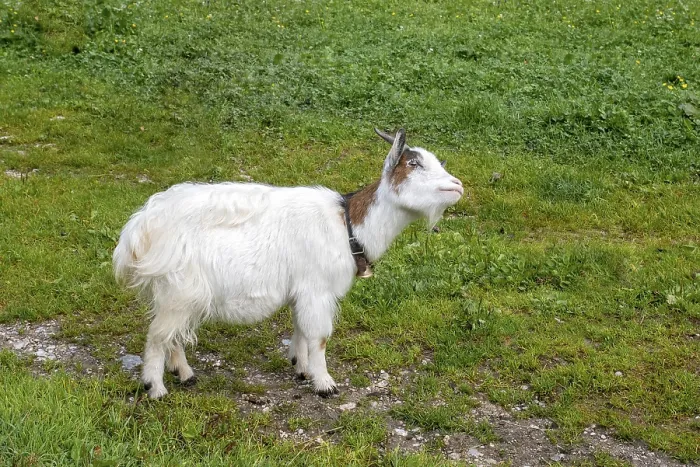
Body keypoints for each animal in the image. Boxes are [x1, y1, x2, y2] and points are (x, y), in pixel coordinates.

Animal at [113, 129, 464, 399]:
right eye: (414, 164)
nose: (457, 185)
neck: (347, 226)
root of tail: (139, 228)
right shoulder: (317, 289)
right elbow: (319, 336)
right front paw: (325, 383)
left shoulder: (303, 290)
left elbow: (300, 329)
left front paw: (301, 367)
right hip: (179, 288)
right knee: (157, 336)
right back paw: (156, 388)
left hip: (179, 293)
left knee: (172, 333)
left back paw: (184, 373)